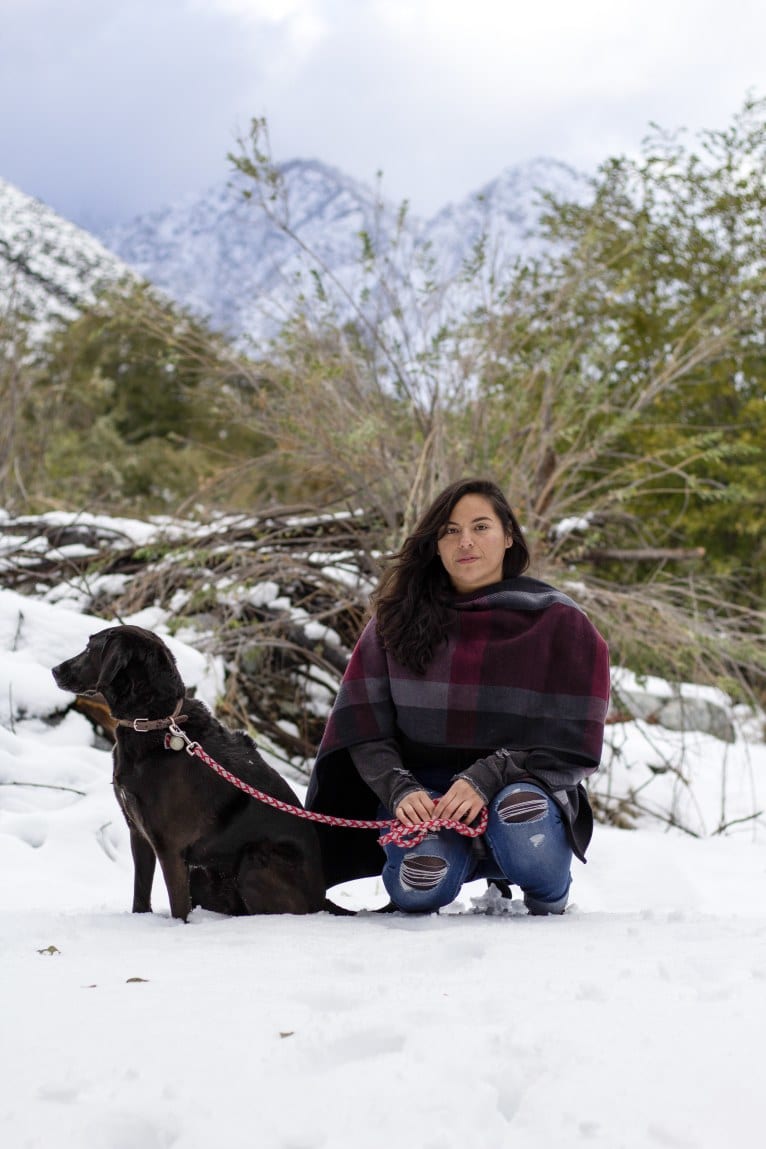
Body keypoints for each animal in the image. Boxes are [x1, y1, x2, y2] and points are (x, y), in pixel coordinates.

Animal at [53, 625, 330, 919]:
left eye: (90, 648)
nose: (54, 670)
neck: (153, 722)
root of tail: (322, 902)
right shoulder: (138, 833)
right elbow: (141, 895)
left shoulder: (170, 847)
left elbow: (179, 908)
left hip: (254, 860)